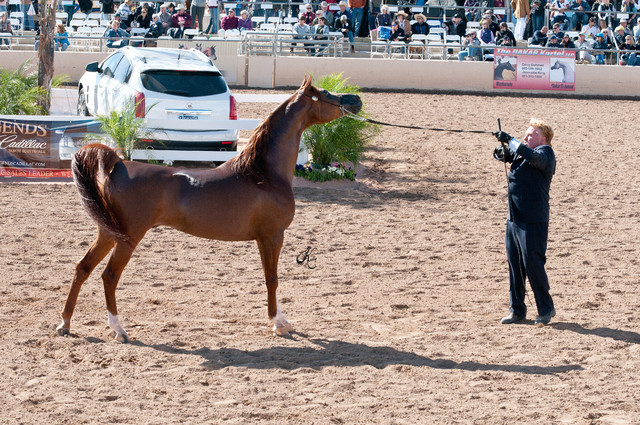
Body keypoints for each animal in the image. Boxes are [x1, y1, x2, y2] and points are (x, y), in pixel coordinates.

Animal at [56, 75, 362, 342]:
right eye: (325, 93)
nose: (356, 99)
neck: (262, 174)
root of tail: (118, 165)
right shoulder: (272, 236)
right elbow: (272, 279)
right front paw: (279, 324)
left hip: (108, 233)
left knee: (82, 268)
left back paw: (65, 324)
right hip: (128, 238)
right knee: (109, 276)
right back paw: (119, 330)